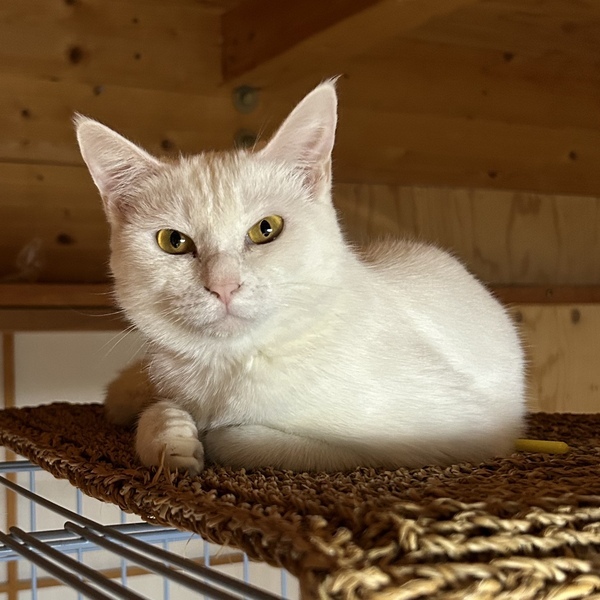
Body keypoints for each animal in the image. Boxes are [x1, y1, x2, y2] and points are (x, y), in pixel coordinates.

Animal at [75, 81, 525, 473]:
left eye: (266, 229)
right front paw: (171, 434)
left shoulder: (461, 430)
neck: (234, 365)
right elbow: (160, 409)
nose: (223, 285)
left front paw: (205, 434)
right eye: (173, 241)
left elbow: (255, 441)